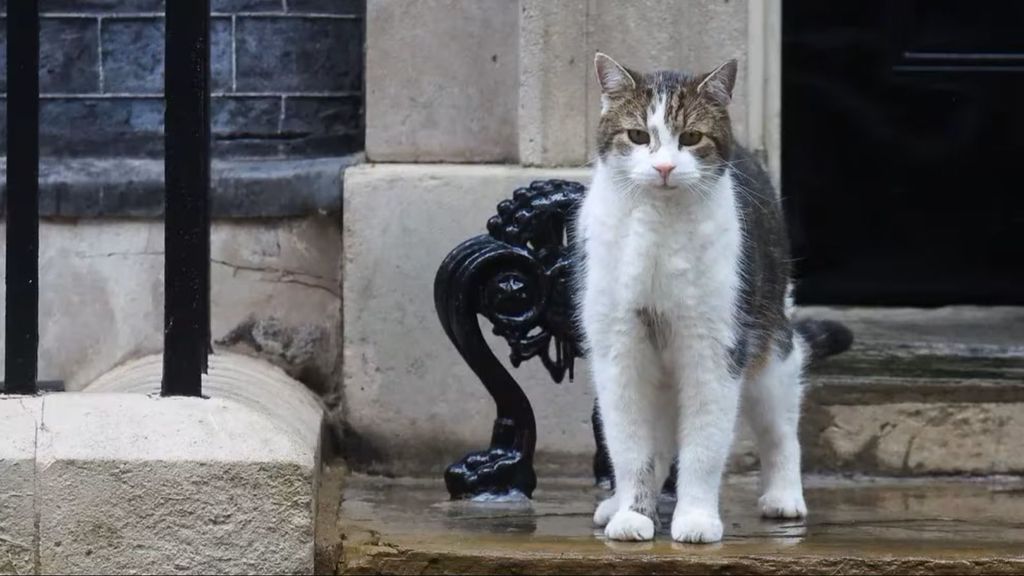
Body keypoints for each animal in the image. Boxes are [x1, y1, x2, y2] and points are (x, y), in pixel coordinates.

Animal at [573, 51, 851, 541]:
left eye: (691, 138)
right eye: (638, 136)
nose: (665, 168)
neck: (659, 227)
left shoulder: (715, 350)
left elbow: (704, 447)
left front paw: (696, 518)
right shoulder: (620, 351)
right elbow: (631, 449)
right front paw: (633, 514)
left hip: (771, 352)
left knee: (781, 433)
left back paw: (784, 497)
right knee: (656, 442)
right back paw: (615, 505)